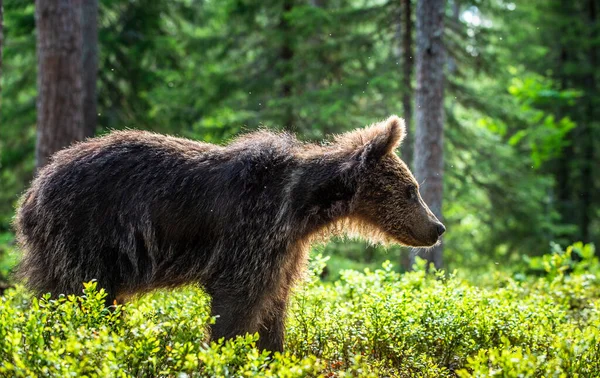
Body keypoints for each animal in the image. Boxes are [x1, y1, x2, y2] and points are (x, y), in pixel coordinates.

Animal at [15, 116, 446, 352]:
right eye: (412, 190)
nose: (437, 228)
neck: (302, 207)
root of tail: (31, 193)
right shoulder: (250, 233)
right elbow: (236, 305)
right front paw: (227, 352)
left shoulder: (284, 251)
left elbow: (274, 308)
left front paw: (273, 353)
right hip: (86, 235)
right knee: (76, 298)